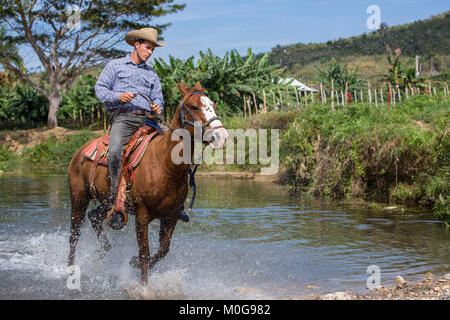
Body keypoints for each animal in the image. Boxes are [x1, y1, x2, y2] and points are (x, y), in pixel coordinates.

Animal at [67, 82, 229, 282]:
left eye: (212, 104)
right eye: (194, 106)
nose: (221, 135)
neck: (165, 165)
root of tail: (79, 152)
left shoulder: (171, 216)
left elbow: (163, 250)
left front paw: (133, 262)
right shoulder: (142, 216)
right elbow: (144, 253)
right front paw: (144, 285)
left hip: (107, 203)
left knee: (94, 217)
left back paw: (101, 251)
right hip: (79, 198)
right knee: (74, 235)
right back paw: (70, 269)